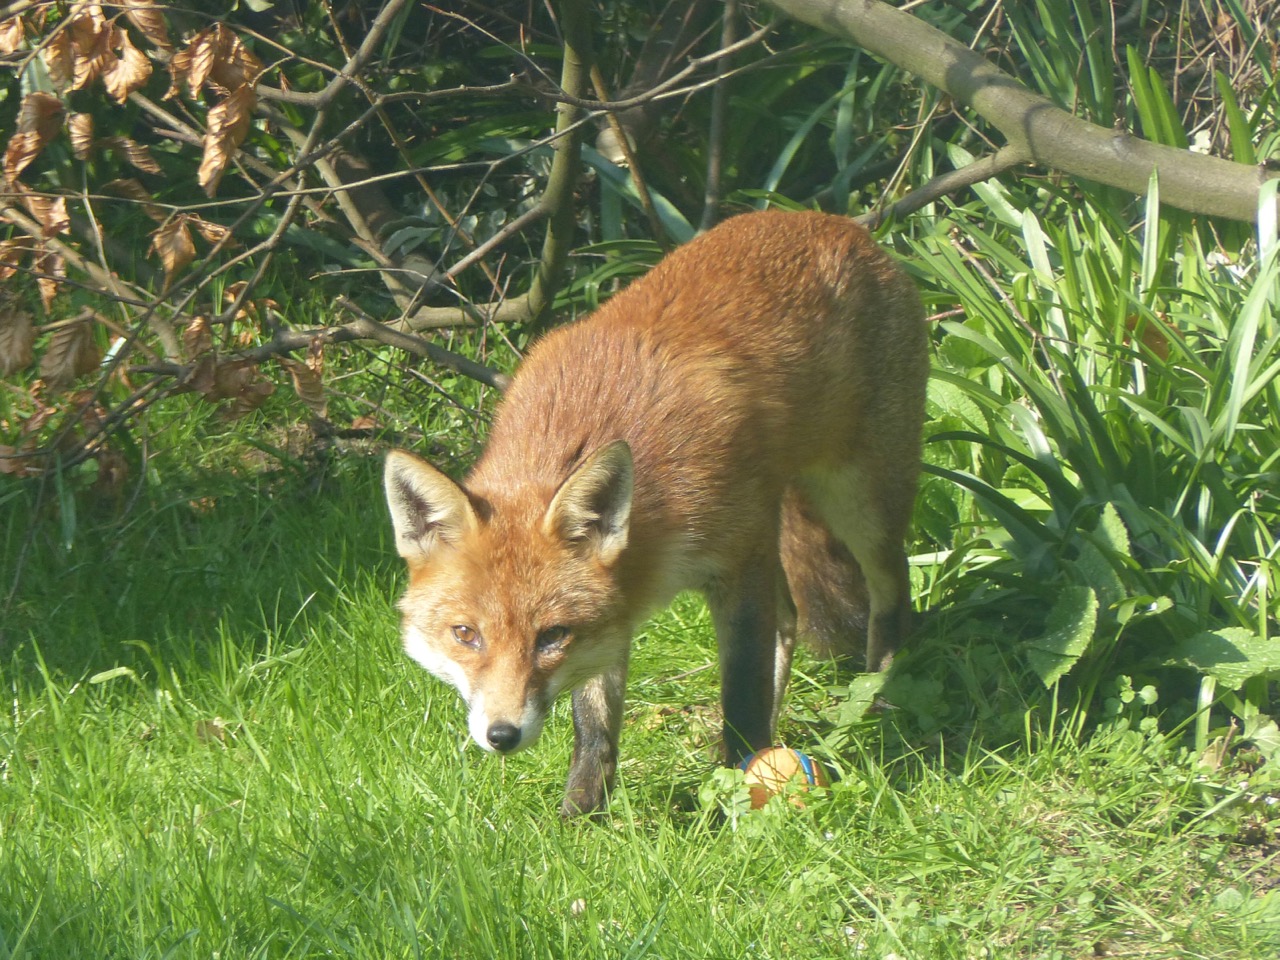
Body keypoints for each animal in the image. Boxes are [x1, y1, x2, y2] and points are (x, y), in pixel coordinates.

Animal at [384, 209, 929, 816]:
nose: (502, 736)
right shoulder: (616, 610)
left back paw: (878, 699)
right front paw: (581, 816)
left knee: (891, 590)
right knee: (790, 620)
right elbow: (595, 724)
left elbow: (742, 690)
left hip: (858, 497)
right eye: (465, 634)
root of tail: (837, 223)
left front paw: (738, 791)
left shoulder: (736, 563)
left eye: (551, 636)